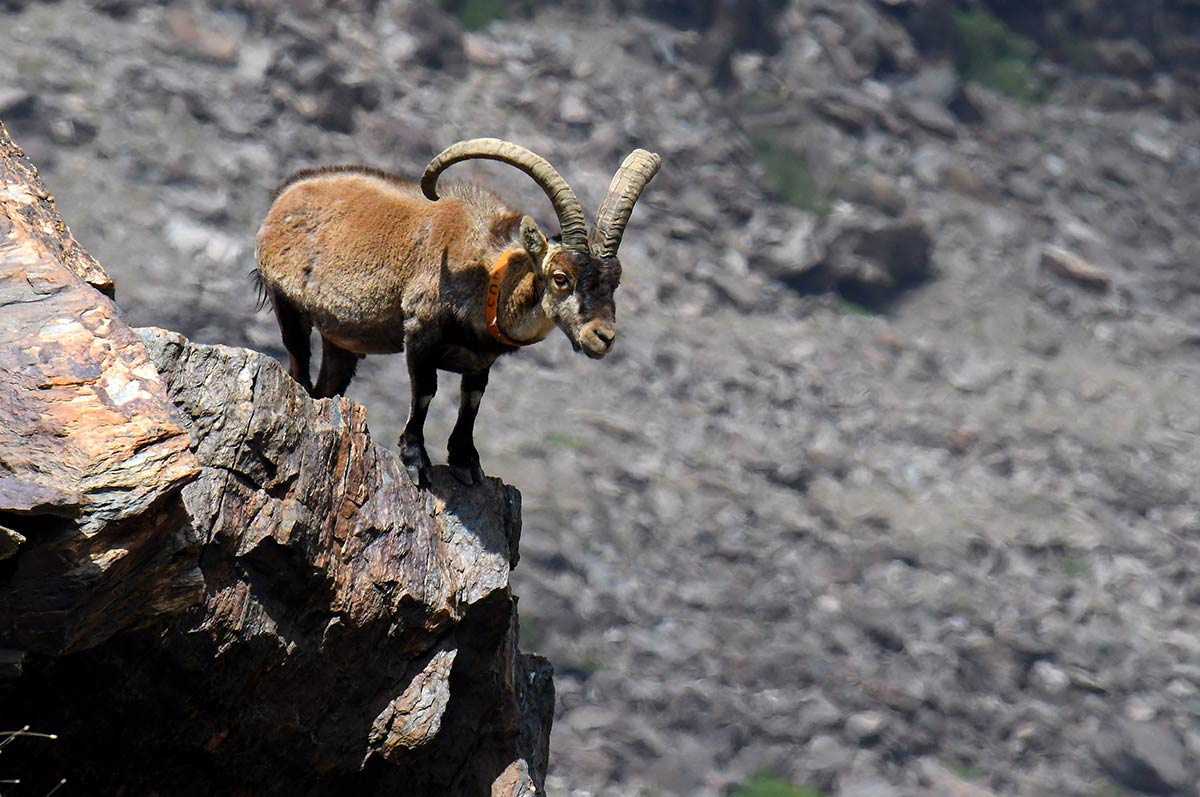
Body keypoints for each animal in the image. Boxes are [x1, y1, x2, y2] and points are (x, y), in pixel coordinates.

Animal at [256, 138, 662, 484]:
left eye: (615, 281)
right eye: (561, 277)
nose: (602, 337)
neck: (487, 280)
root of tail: (283, 197)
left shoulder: (481, 359)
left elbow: (472, 402)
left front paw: (466, 461)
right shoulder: (421, 332)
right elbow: (425, 391)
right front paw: (415, 459)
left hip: (342, 342)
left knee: (328, 383)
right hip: (286, 302)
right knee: (298, 361)